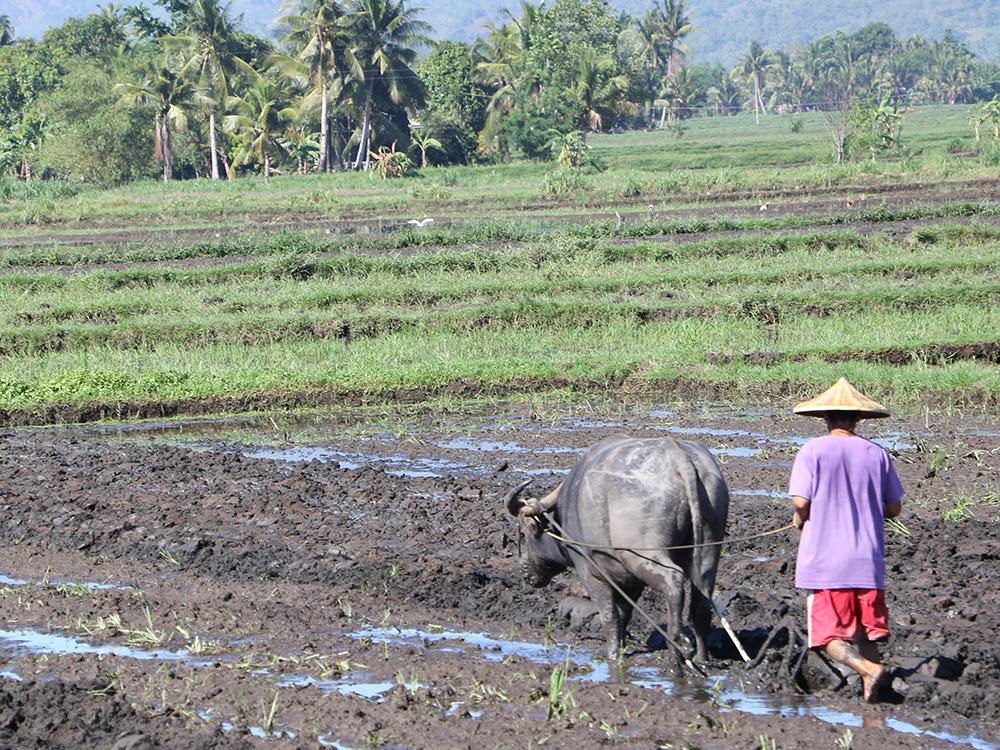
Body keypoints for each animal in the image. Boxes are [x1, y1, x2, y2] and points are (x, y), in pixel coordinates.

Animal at [508, 434, 728, 664]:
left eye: (524, 533)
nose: (524, 571)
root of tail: (680, 459)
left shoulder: (591, 572)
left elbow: (609, 616)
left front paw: (613, 656)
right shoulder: (630, 581)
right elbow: (624, 614)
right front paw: (621, 648)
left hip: (644, 556)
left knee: (674, 582)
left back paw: (677, 651)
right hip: (707, 551)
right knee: (701, 601)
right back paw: (702, 658)